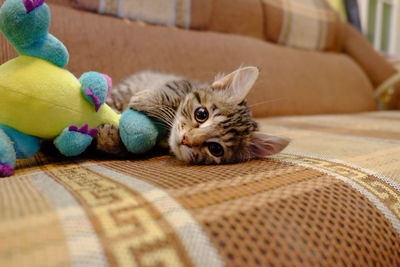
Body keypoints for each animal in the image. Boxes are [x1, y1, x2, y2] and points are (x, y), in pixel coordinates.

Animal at [98, 67, 290, 164]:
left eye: (216, 149)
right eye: (201, 114)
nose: (186, 140)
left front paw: (109, 139)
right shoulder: (182, 83)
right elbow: (172, 92)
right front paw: (145, 98)